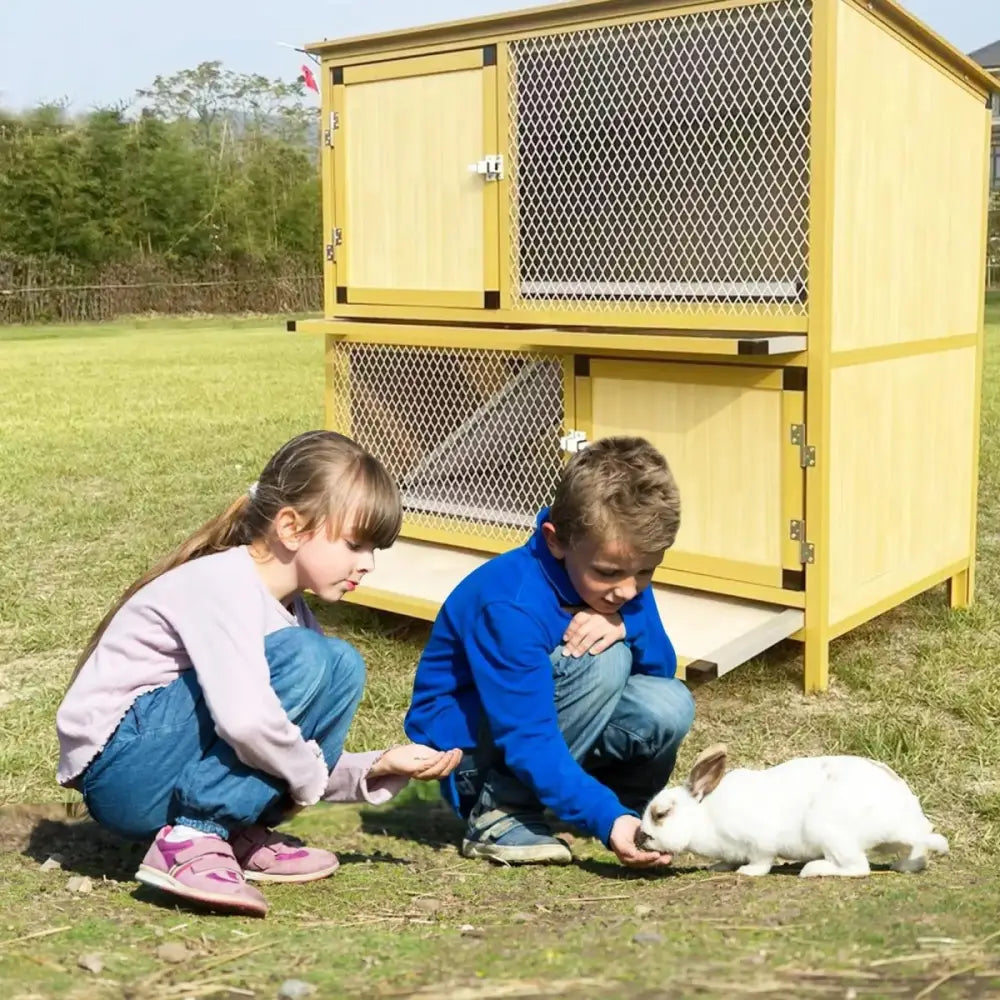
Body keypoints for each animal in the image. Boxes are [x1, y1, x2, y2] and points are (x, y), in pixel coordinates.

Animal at [635, 744, 949, 878]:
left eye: (661, 814)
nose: (640, 838)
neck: (704, 817)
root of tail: (901, 818)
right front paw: (718, 867)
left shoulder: (759, 843)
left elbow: (761, 862)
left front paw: (747, 872)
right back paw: (903, 866)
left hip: (830, 832)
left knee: (858, 868)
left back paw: (811, 870)